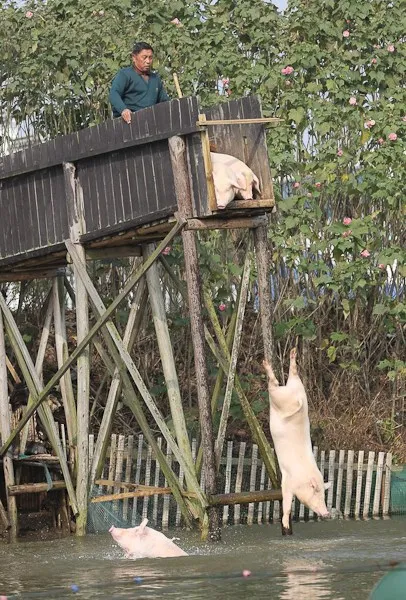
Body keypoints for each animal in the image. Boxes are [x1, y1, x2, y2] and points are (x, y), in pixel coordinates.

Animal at [264, 346, 330, 536]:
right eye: (317, 493)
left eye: (324, 494)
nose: (327, 514)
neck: (304, 478)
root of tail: (296, 395)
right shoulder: (288, 480)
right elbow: (286, 503)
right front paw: (286, 526)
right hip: (280, 397)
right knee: (274, 385)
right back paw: (266, 363)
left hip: (296, 386)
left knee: (291, 374)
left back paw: (292, 353)